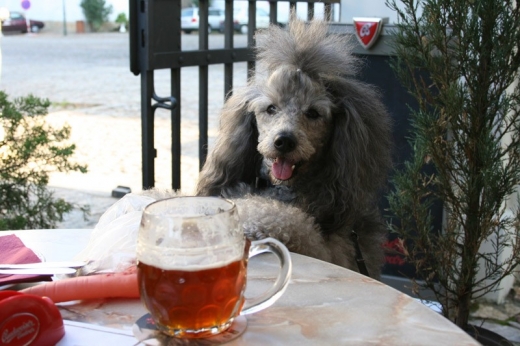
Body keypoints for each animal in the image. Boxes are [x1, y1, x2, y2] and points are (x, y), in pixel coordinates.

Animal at [197, 18, 392, 278]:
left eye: (313, 113)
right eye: (271, 108)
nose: (284, 141)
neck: (283, 188)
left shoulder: (329, 250)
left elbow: (291, 221)